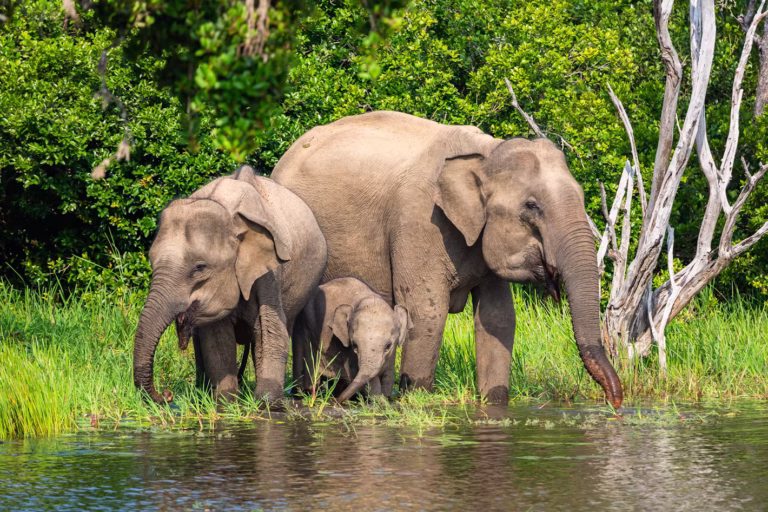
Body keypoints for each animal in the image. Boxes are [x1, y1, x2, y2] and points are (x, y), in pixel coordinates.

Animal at [133, 165, 327, 403]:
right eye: (151, 262)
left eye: (200, 267)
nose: (167, 394)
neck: (230, 214)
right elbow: (217, 338)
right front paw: (226, 401)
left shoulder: (270, 271)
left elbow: (270, 330)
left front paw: (266, 402)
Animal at [272, 111, 623, 408]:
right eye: (532, 206)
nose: (615, 404)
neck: (486, 153)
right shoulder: (419, 221)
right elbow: (427, 313)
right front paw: (415, 400)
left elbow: (498, 317)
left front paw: (493, 403)